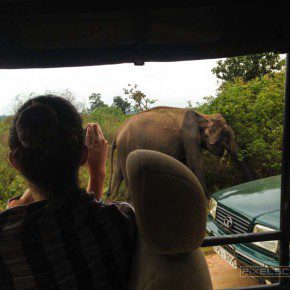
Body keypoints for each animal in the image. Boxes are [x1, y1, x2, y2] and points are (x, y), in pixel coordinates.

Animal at [107, 106, 250, 199]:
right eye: (227, 136)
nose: (248, 182)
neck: (203, 116)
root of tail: (118, 132)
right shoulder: (189, 135)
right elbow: (195, 164)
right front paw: (206, 200)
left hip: (122, 149)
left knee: (118, 175)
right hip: (127, 147)